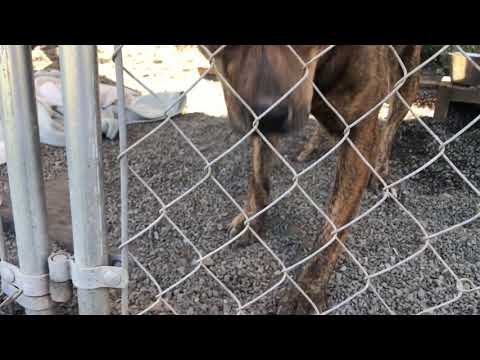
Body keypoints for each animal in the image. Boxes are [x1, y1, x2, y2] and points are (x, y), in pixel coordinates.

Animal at [198, 45, 420, 316]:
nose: (269, 115)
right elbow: (258, 176)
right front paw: (251, 221)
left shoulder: (359, 133)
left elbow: (333, 227)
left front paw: (307, 290)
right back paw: (313, 146)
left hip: (409, 75)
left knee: (391, 123)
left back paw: (379, 171)